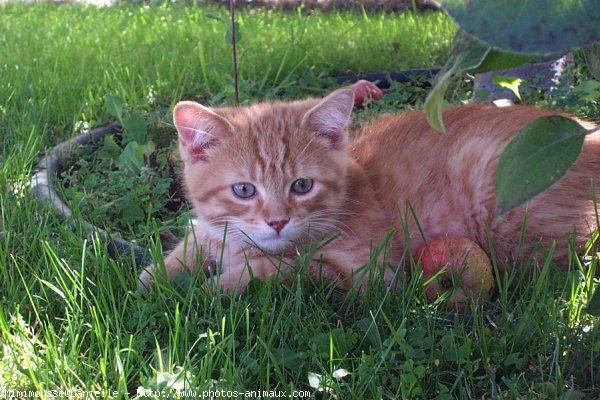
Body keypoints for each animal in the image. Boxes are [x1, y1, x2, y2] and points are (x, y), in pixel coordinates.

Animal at [137, 86, 600, 292]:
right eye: (244, 190)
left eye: (301, 185)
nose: (277, 221)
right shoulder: (209, 229)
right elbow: (187, 246)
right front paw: (151, 281)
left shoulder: (368, 272)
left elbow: (282, 269)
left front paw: (215, 289)